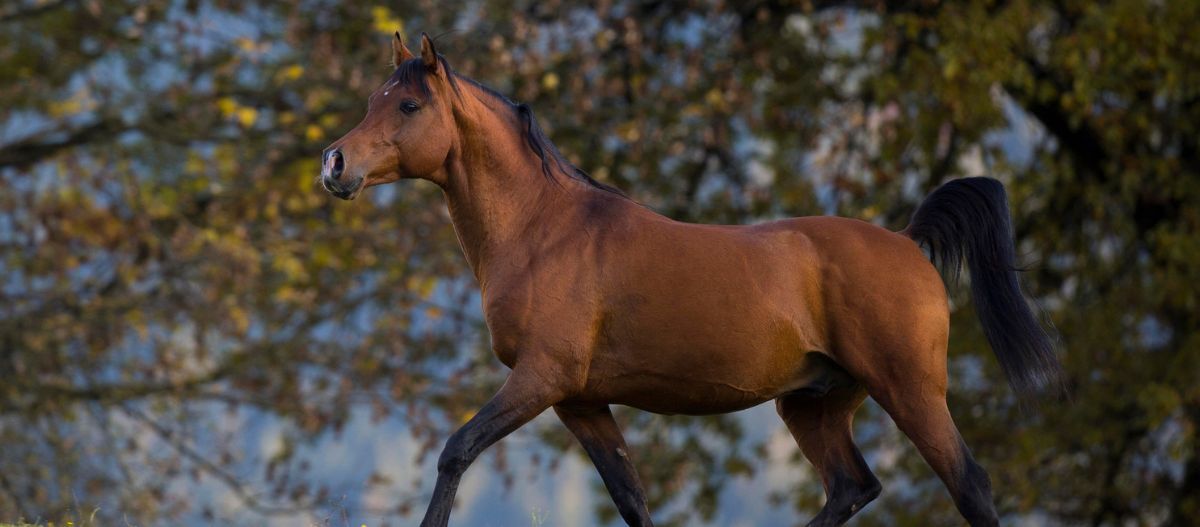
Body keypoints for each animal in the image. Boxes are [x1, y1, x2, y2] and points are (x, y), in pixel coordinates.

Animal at [320, 33, 1063, 527]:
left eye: (409, 105)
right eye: (374, 98)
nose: (335, 164)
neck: (542, 228)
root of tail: (909, 244)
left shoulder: (540, 379)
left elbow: (456, 452)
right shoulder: (579, 400)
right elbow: (631, 497)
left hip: (908, 389)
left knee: (969, 484)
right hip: (814, 403)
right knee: (853, 487)